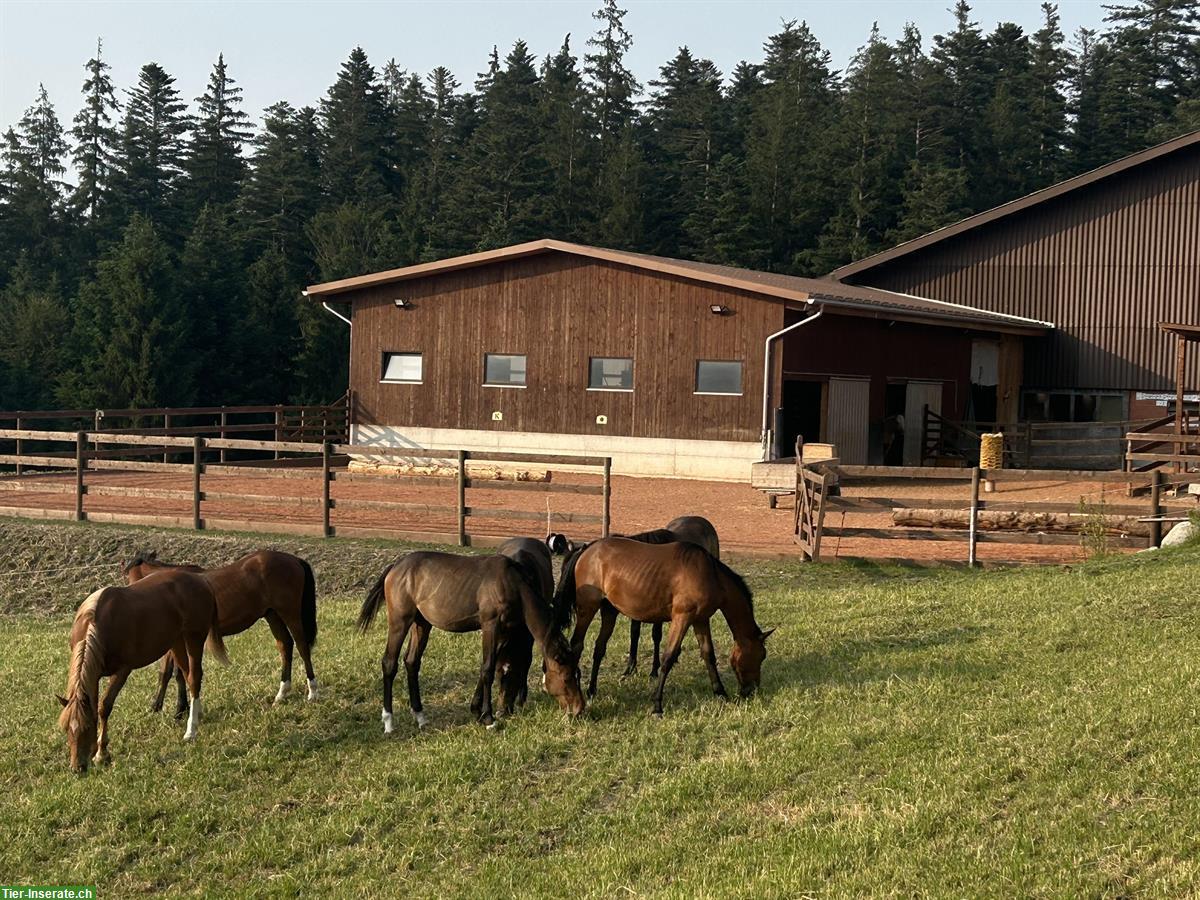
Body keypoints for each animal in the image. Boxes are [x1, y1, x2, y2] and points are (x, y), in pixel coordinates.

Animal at [56, 571, 229, 777]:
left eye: (87, 727)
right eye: (66, 728)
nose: (77, 768)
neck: (98, 624)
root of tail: (200, 579)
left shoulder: (122, 671)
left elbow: (104, 707)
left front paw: (102, 754)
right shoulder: (94, 675)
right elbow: (96, 705)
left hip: (194, 637)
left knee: (194, 677)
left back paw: (190, 731)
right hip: (177, 641)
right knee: (188, 675)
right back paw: (197, 714)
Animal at [125, 549, 319, 720]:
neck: (172, 590)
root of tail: (293, 559)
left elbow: (169, 673)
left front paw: (171, 708)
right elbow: (176, 673)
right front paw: (179, 708)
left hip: (289, 612)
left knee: (302, 646)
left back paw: (313, 691)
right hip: (273, 615)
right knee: (285, 645)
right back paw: (282, 693)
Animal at [355, 549, 585, 734]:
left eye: (578, 674)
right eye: (566, 678)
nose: (579, 710)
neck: (513, 584)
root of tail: (395, 567)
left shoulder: (503, 632)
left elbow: (488, 668)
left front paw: (477, 711)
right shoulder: (491, 626)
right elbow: (488, 669)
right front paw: (489, 718)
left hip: (422, 624)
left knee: (412, 662)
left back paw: (420, 717)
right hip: (399, 621)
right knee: (389, 663)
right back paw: (389, 722)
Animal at [552, 535, 768, 720]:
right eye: (761, 656)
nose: (752, 691)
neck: (710, 574)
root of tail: (587, 549)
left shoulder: (700, 620)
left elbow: (708, 655)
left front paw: (721, 693)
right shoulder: (682, 617)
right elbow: (668, 658)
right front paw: (657, 705)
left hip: (609, 611)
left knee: (599, 648)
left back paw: (591, 690)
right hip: (587, 609)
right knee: (577, 645)